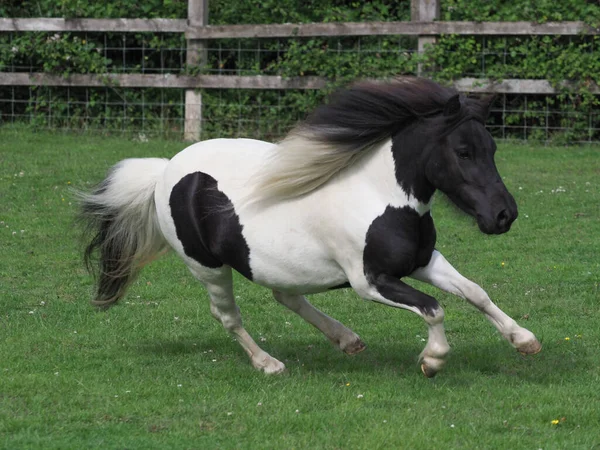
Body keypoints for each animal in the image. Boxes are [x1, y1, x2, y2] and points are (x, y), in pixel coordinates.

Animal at [81, 76, 544, 376]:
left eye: (492, 148)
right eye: (463, 152)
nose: (504, 215)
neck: (379, 195)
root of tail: (164, 171)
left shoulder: (423, 262)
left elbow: (475, 292)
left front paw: (524, 340)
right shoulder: (370, 281)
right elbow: (434, 307)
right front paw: (433, 360)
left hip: (277, 263)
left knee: (285, 295)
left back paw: (346, 339)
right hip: (207, 268)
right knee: (228, 315)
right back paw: (268, 364)